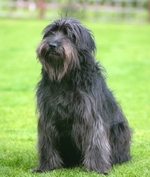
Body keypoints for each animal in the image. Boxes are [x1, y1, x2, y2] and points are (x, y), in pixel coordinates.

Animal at [33, 17, 131, 174]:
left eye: (69, 35)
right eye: (51, 32)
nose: (52, 45)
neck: (65, 78)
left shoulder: (90, 116)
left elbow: (95, 142)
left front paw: (98, 168)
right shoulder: (48, 116)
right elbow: (46, 143)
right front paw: (46, 167)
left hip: (119, 129)